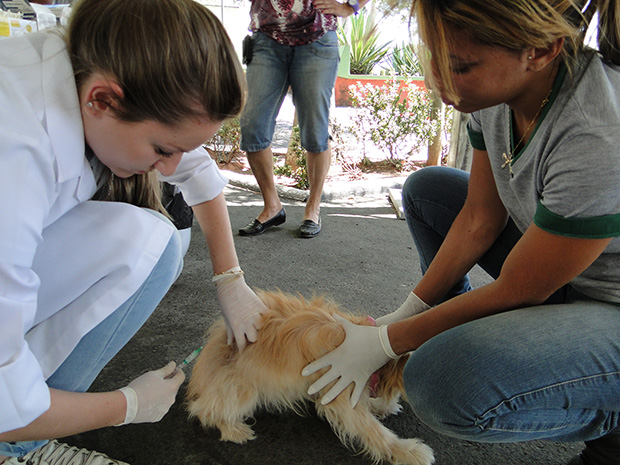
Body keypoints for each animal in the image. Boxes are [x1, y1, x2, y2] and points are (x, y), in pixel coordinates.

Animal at [186, 288, 434, 462]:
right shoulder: (342, 395)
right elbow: (374, 431)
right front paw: (408, 451)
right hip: (242, 391)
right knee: (204, 410)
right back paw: (233, 429)